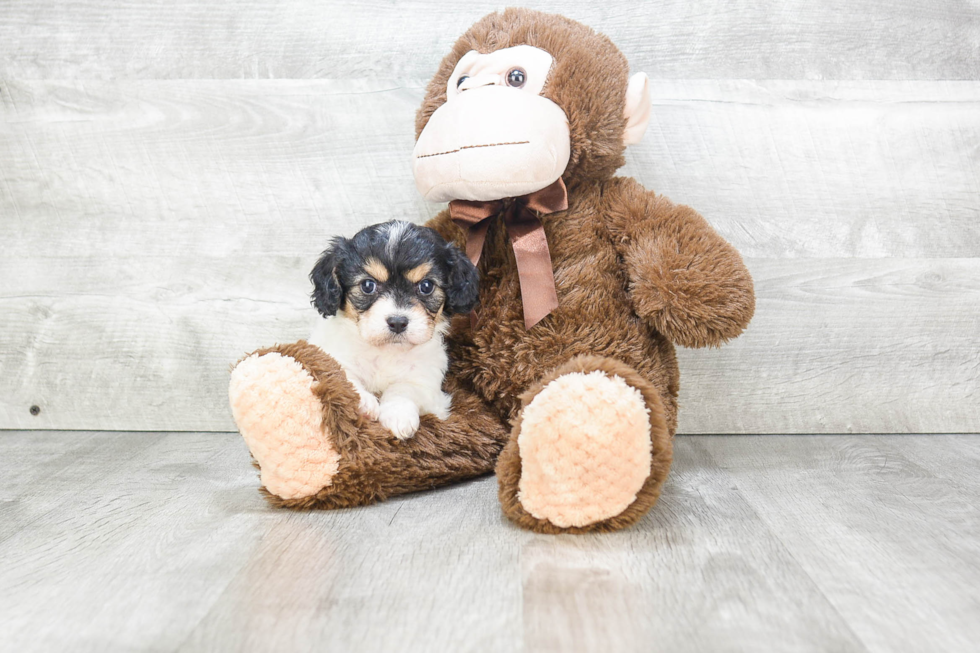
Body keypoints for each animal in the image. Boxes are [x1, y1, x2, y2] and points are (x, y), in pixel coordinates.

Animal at [304, 222, 476, 440]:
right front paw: (364, 402)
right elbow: (344, 376)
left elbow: (404, 388)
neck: (386, 351)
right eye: (368, 285)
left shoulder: (426, 380)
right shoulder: (333, 355)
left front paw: (398, 415)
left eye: (426, 286)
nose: (397, 322)